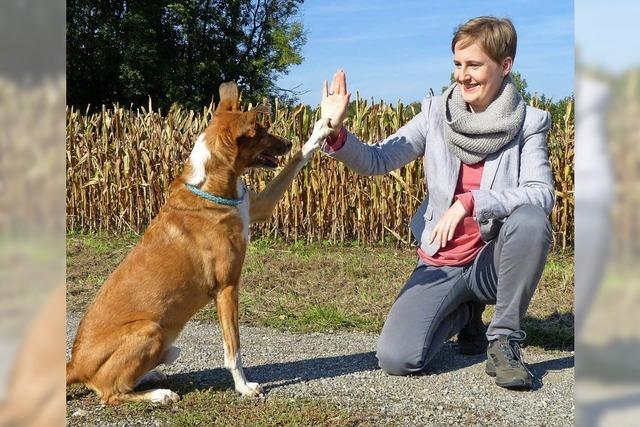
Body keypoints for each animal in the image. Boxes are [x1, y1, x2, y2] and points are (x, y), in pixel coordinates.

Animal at [67, 82, 332, 406]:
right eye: (262, 131)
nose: (288, 142)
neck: (212, 187)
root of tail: (74, 364)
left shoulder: (257, 207)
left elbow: (294, 165)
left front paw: (318, 133)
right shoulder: (227, 287)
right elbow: (233, 350)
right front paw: (244, 387)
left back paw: (152, 375)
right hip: (150, 330)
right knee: (110, 394)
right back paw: (160, 394)